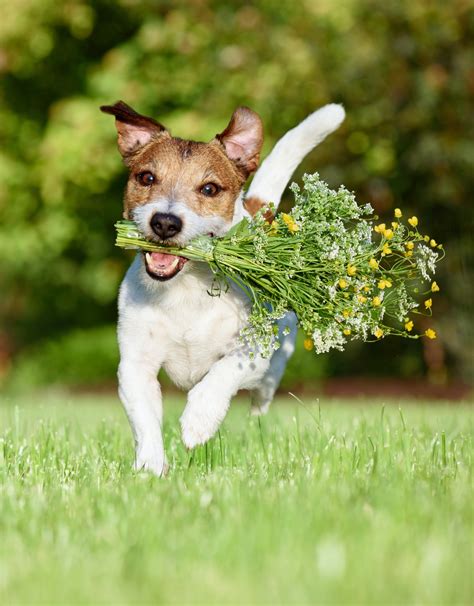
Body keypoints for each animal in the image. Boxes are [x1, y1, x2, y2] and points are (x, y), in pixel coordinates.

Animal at [101, 102, 344, 478]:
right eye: (147, 178)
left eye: (209, 189)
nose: (165, 222)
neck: (185, 287)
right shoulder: (134, 365)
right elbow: (145, 420)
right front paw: (151, 466)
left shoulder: (252, 352)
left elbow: (222, 373)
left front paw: (198, 422)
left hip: (280, 341)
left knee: (270, 376)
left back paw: (259, 402)